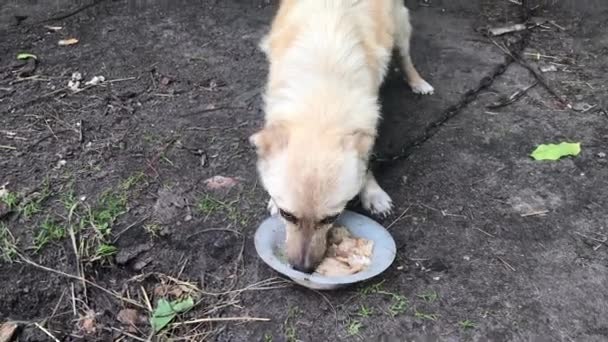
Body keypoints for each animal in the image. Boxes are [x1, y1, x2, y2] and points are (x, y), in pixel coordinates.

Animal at [251, 0, 432, 272]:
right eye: (287, 215)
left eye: (332, 218)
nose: (303, 268)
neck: (320, 101)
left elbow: (366, 165)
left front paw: (372, 193)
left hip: (399, 24)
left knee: (404, 55)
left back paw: (417, 82)